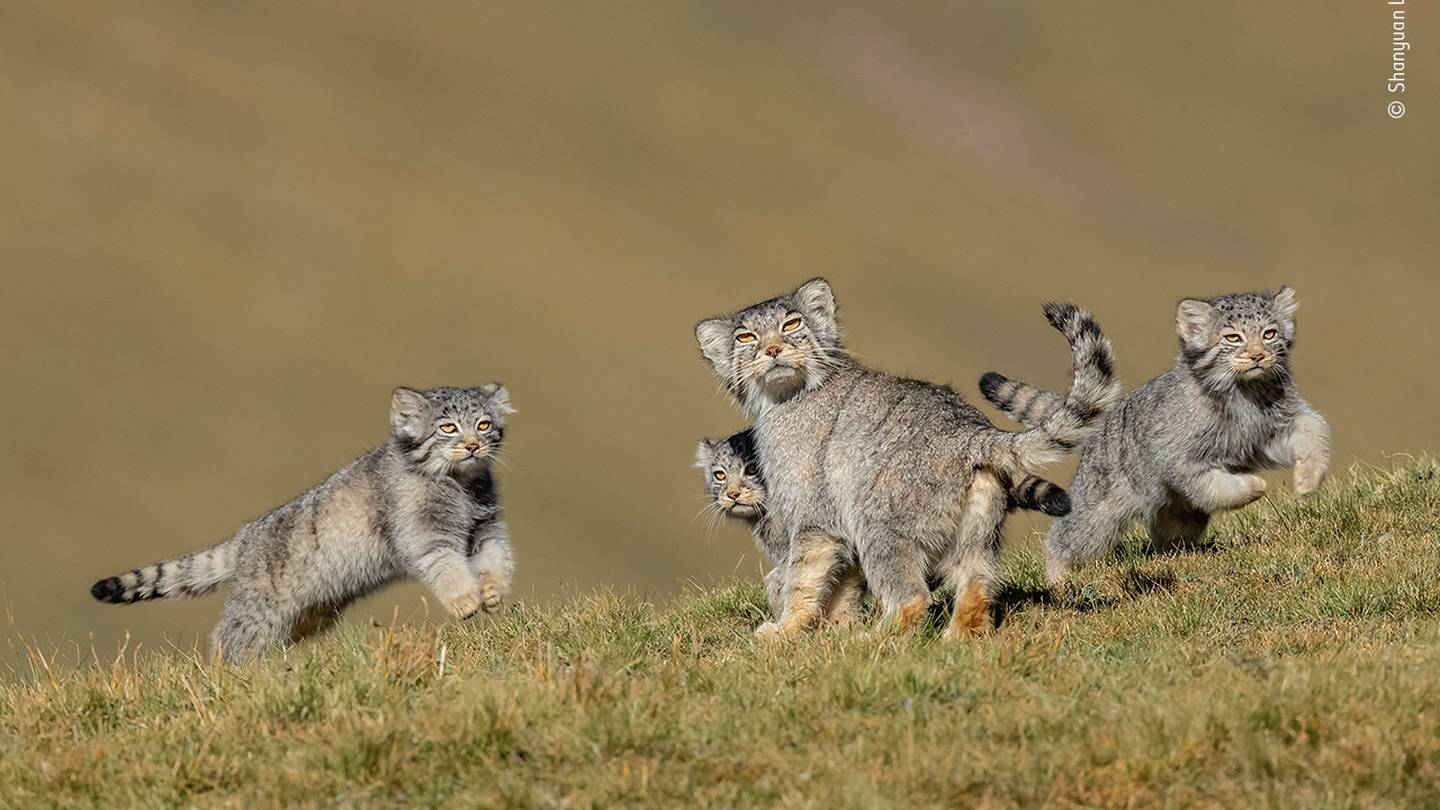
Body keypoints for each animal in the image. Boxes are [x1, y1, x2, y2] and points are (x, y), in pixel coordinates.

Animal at [91, 380, 518, 660]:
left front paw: (493, 591)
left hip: (309, 612)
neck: (462, 486)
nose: (473, 445)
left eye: (483, 425)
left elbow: (497, 557)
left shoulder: (485, 528)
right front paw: (465, 600)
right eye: (448, 427)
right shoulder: (424, 532)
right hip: (259, 609)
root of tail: (245, 537)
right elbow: (445, 565)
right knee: (228, 638)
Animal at [691, 276, 1117, 637]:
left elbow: (800, 582)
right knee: (977, 585)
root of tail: (970, 430)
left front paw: (784, 633)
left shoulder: (815, 519)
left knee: (912, 598)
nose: (773, 349)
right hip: (974, 535)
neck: (785, 399)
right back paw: (955, 642)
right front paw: (830, 627)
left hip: (879, 525)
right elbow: (837, 585)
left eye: (792, 324)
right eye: (745, 336)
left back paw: (870, 642)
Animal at [984, 285, 1330, 579]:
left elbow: (1316, 430)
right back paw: (1058, 577)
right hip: (1096, 513)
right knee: (1065, 537)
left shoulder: (1274, 430)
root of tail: (1104, 419)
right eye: (1233, 338)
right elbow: (1218, 487)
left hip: (1177, 515)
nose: (1258, 355)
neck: (1246, 396)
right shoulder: (1181, 462)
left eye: (1269, 334)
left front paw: (1307, 480)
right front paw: (1254, 485)